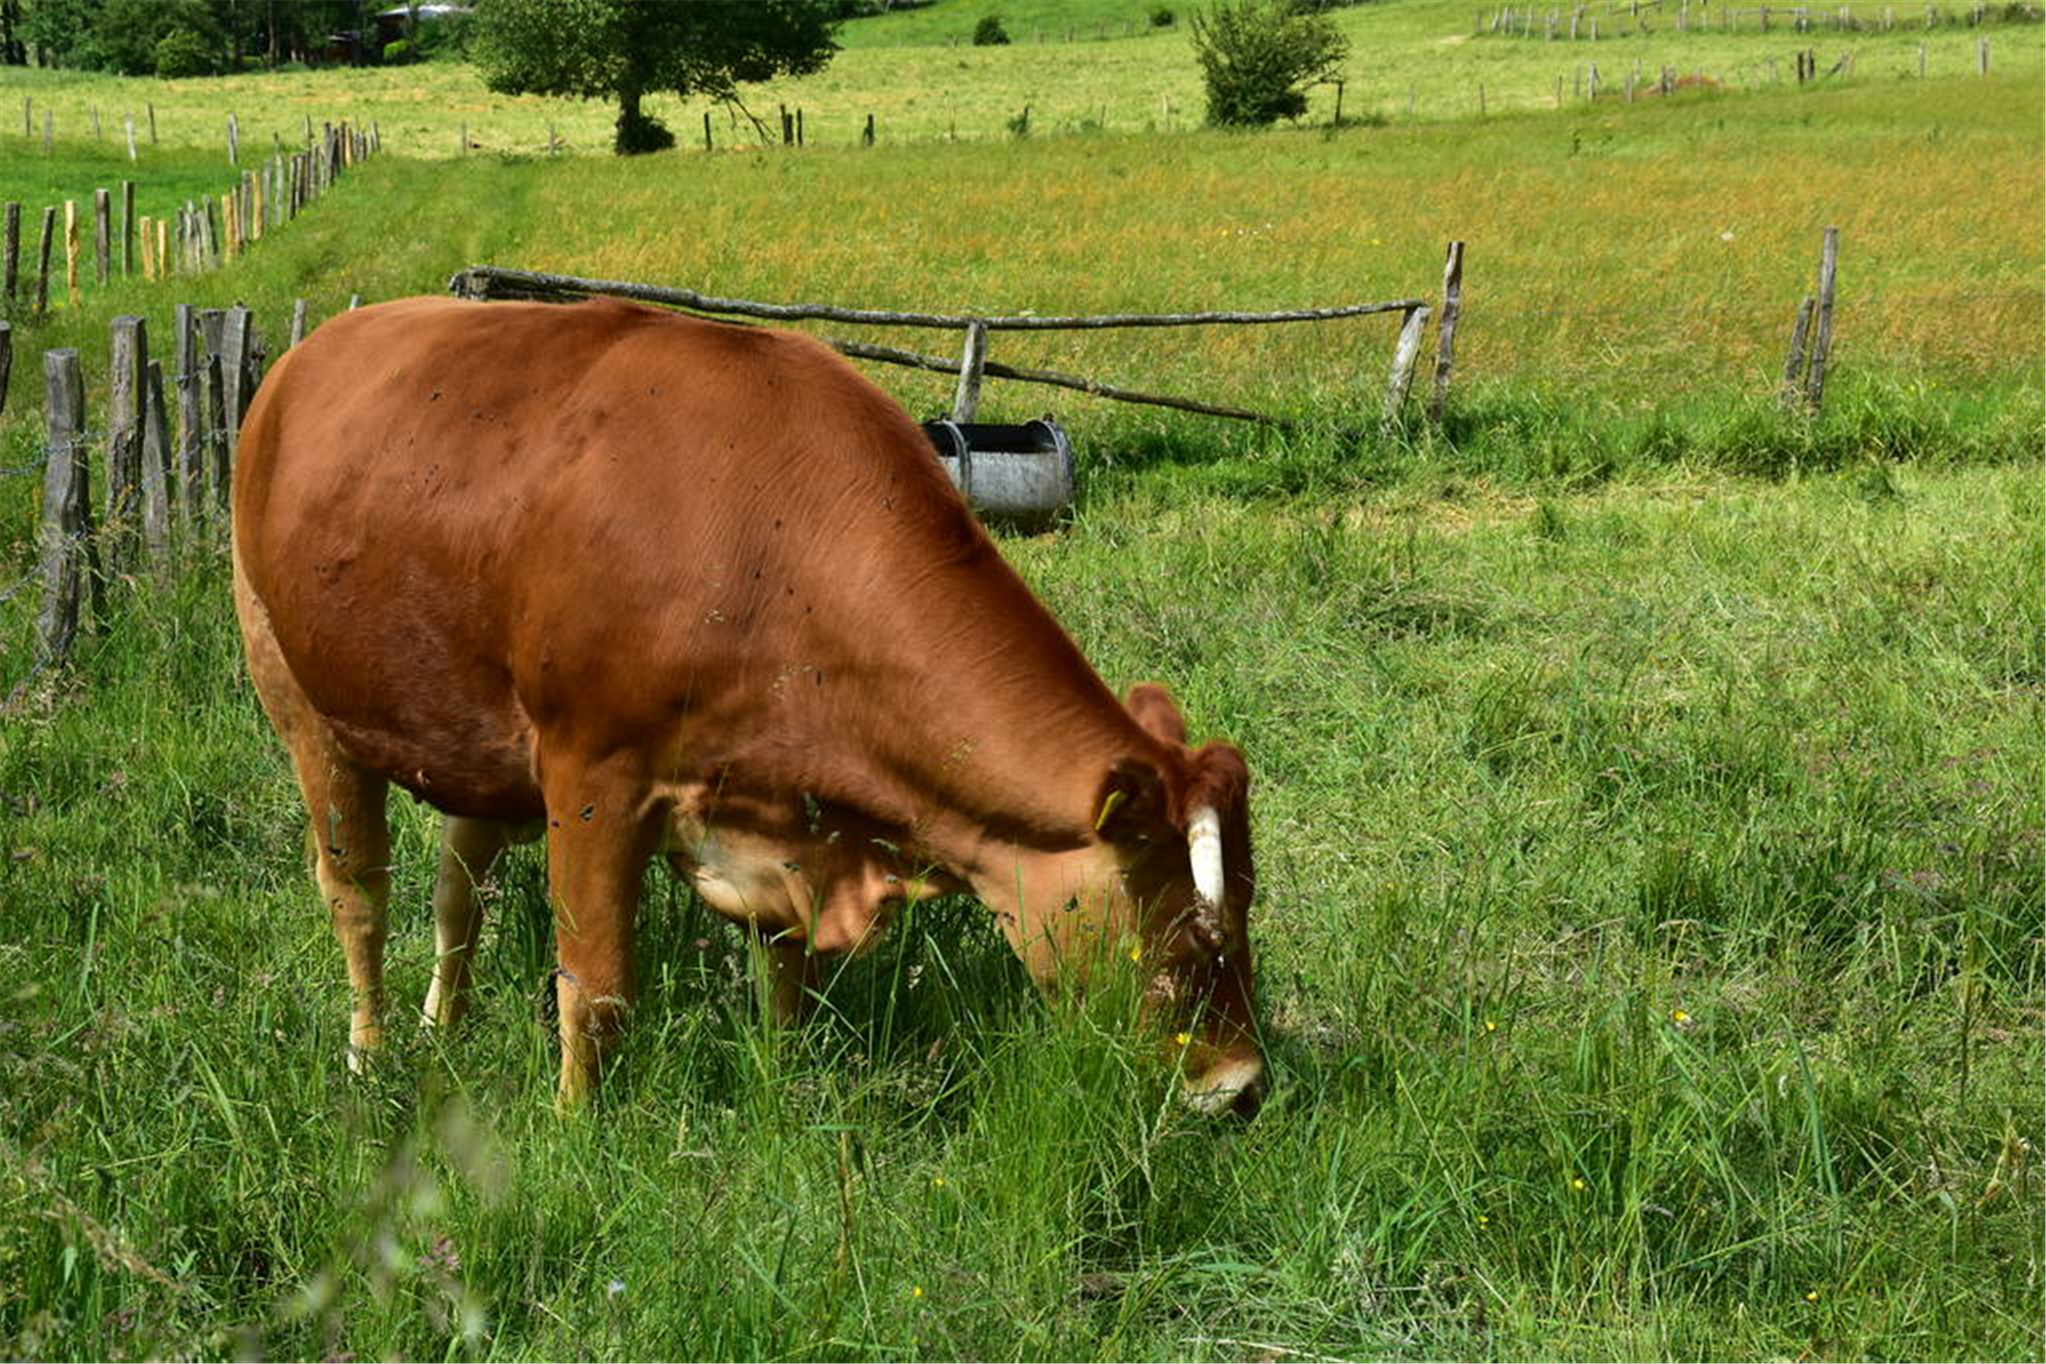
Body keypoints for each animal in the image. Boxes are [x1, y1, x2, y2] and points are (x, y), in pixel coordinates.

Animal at [235, 294, 1260, 1112]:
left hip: (476, 745)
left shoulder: (782, 814)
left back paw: (441, 1026)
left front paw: (782, 1091)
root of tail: (312, 348)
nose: (1242, 1089)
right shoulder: (591, 771)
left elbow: (787, 978)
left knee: (459, 890)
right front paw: (573, 1136)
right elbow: (595, 992)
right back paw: (370, 1055)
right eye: (1184, 936)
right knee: (359, 894)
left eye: (1249, 907)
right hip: (292, 687)